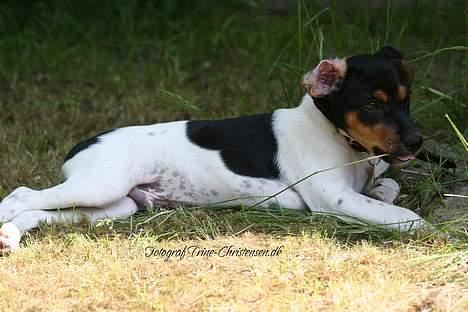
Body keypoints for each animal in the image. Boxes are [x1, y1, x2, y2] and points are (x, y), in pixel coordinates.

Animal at [0, 45, 424, 251]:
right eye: (371, 105)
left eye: (406, 100)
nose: (417, 142)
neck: (337, 136)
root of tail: (84, 144)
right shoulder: (332, 199)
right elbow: (406, 216)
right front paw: (422, 229)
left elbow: (388, 188)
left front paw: (383, 190)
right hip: (100, 186)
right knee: (20, 195)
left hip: (115, 207)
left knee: (40, 211)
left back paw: (11, 236)